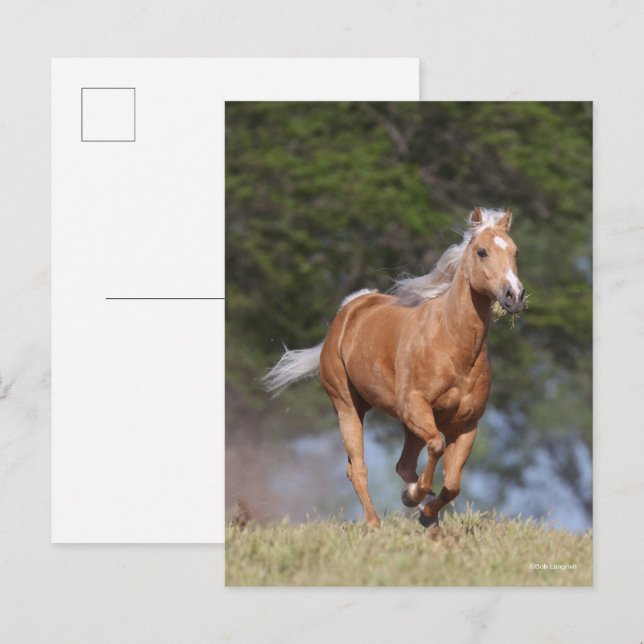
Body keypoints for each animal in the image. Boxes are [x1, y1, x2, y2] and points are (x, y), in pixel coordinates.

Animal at [264, 207, 525, 528]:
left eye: (515, 251)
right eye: (482, 251)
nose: (514, 296)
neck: (453, 346)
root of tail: (349, 309)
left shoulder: (466, 424)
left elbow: (452, 485)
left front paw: (426, 512)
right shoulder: (414, 406)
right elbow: (436, 446)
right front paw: (413, 497)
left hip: (406, 425)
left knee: (403, 465)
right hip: (347, 407)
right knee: (359, 468)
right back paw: (375, 523)